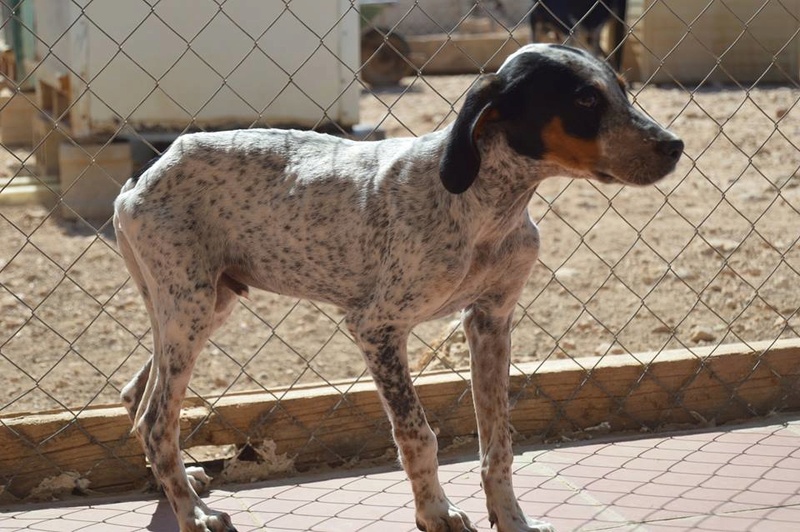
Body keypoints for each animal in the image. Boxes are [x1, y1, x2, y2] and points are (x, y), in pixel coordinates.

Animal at [115, 43, 684, 528]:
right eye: (585, 99)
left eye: (623, 90)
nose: (675, 146)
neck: (486, 206)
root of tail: (147, 171)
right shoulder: (377, 327)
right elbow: (418, 435)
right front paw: (435, 512)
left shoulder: (491, 321)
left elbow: (498, 441)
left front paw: (511, 519)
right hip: (188, 309)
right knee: (158, 420)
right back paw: (192, 516)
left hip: (202, 305)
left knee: (138, 401)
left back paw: (176, 489)